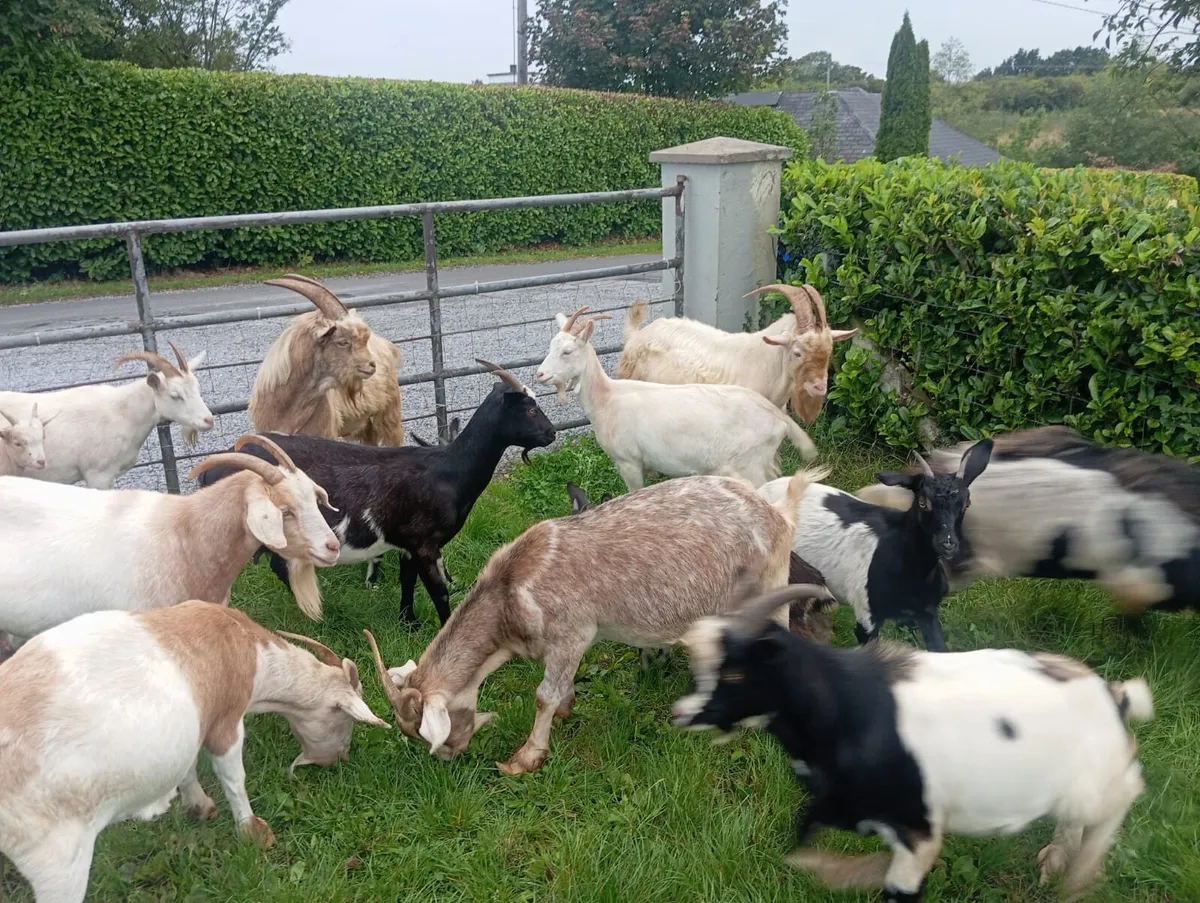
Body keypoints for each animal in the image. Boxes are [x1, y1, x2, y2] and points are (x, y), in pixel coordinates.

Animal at [0, 601, 388, 903]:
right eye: (346, 721)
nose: (340, 758)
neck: (248, 649)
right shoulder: (226, 722)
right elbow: (233, 777)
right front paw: (253, 832)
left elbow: (186, 767)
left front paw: (198, 806)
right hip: (57, 860)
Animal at [196, 361, 556, 626]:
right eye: (529, 409)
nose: (552, 434)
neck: (447, 471)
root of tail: (211, 469)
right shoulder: (424, 543)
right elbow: (438, 592)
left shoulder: (408, 543)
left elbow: (408, 581)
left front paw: (408, 623)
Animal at [364, 468, 823, 776]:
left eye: (430, 735)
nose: (451, 755)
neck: (510, 592)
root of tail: (779, 513)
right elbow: (562, 687)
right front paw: (566, 709)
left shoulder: (571, 632)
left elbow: (544, 695)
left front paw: (526, 757)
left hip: (766, 589)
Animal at [536, 306, 818, 491]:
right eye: (550, 346)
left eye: (567, 351)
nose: (540, 374)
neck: (608, 399)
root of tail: (777, 415)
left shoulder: (629, 462)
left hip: (749, 465)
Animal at [673, 582, 1153, 903]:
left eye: (736, 673)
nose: (682, 713)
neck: (849, 706)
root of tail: (1114, 696)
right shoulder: (834, 806)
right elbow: (803, 854)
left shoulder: (917, 830)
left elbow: (897, 887)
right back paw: (1057, 859)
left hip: (1095, 785)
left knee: (1127, 791)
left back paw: (1080, 873)